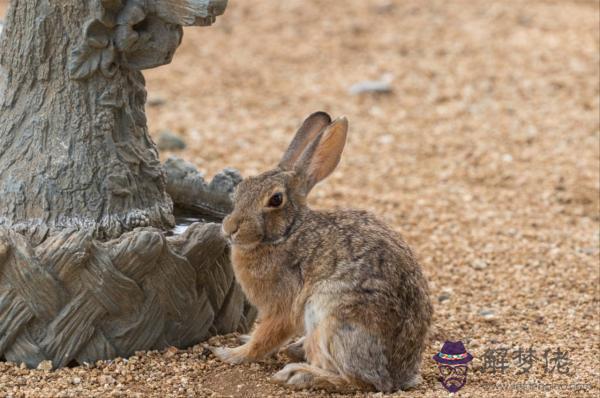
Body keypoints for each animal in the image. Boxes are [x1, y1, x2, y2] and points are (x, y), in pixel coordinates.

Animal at [212, 112, 432, 392]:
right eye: (240, 189)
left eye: (275, 200)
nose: (230, 228)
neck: (288, 232)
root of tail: (400, 375)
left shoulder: (282, 306)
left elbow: (265, 337)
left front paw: (230, 353)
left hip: (331, 321)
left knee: (361, 381)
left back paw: (298, 374)